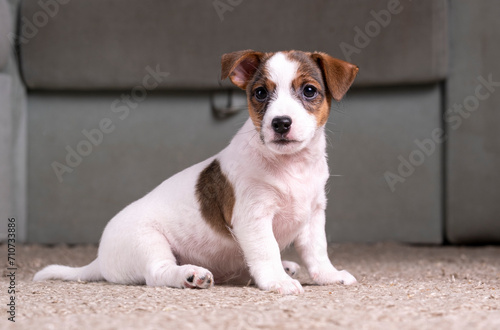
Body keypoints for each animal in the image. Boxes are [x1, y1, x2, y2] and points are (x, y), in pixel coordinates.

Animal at [35, 50, 360, 296]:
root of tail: (99, 261)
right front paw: (277, 281)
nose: (280, 122)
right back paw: (189, 275)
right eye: (260, 93)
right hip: (147, 242)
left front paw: (328, 275)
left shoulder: (313, 215)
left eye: (309, 91)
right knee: (157, 273)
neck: (290, 165)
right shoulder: (254, 217)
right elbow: (266, 250)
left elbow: (317, 251)